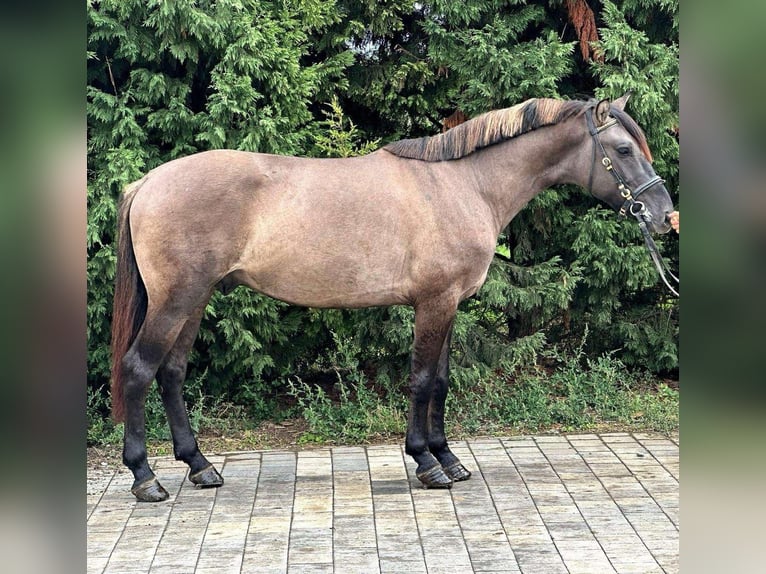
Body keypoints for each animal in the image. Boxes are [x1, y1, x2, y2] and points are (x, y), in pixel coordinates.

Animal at [111, 92, 676, 502]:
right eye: (623, 150)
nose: (665, 216)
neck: (465, 184)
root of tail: (147, 182)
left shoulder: (448, 305)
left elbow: (441, 382)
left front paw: (449, 459)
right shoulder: (435, 302)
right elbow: (423, 379)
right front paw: (426, 464)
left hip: (195, 300)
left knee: (171, 373)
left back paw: (200, 467)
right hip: (177, 300)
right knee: (139, 369)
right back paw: (145, 478)